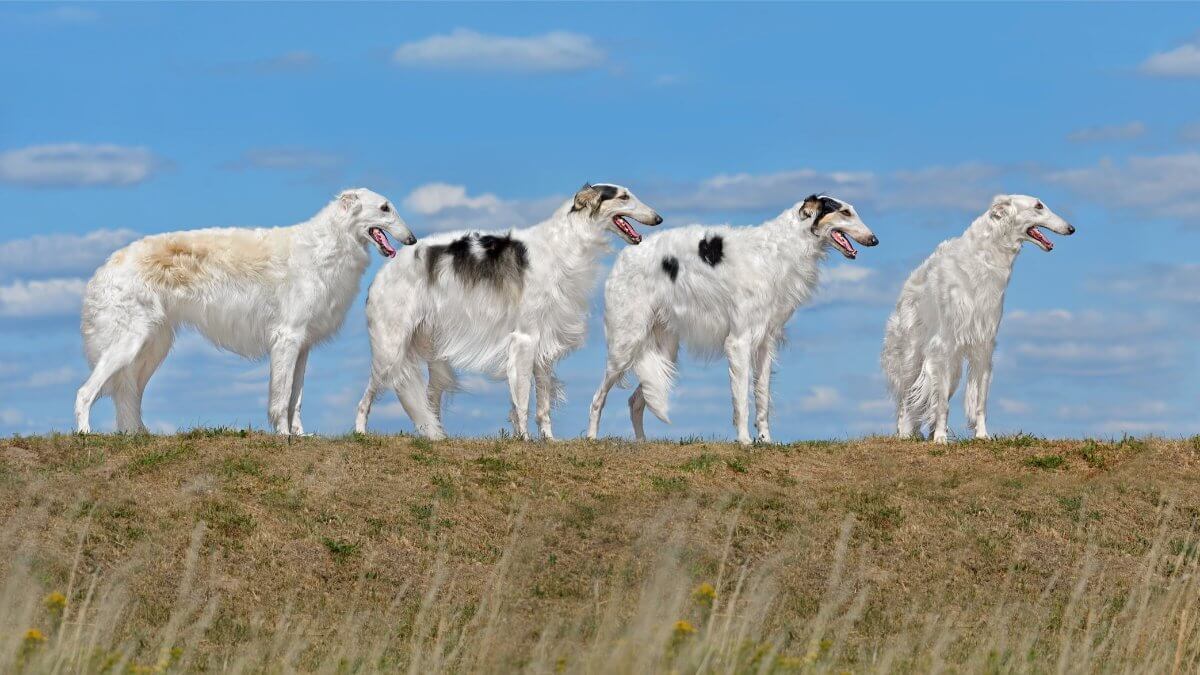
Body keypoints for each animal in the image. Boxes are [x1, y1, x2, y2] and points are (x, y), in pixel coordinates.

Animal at [75, 186, 415, 432]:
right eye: (385, 207)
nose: (411, 239)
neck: (326, 247)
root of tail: (105, 268)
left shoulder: (303, 344)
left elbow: (296, 399)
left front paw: (301, 436)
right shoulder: (286, 337)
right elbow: (281, 397)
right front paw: (283, 436)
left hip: (151, 347)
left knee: (127, 396)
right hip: (129, 341)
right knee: (85, 392)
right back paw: (85, 435)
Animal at [355, 181, 662, 439]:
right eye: (624, 196)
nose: (658, 218)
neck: (562, 244)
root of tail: (379, 277)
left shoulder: (543, 342)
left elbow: (542, 404)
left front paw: (548, 440)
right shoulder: (524, 338)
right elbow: (523, 398)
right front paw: (523, 439)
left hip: (431, 353)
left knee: (428, 402)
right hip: (390, 349)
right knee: (366, 397)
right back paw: (360, 432)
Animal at [585, 194, 878, 444]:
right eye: (845, 212)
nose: (874, 240)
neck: (777, 252)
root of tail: (624, 255)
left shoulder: (765, 343)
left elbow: (762, 398)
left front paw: (766, 441)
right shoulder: (739, 341)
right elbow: (742, 399)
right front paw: (745, 441)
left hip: (664, 350)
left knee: (636, 400)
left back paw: (642, 443)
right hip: (626, 343)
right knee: (598, 397)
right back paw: (591, 437)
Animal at [883, 193, 1080, 441]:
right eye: (1038, 206)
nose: (1071, 228)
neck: (982, 260)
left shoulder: (984, 343)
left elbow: (979, 400)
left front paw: (982, 435)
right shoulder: (945, 344)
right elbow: (940, 404)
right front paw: (941, 439)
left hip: (953, 368)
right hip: (912, 354)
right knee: (907, 397)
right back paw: (905, 433)